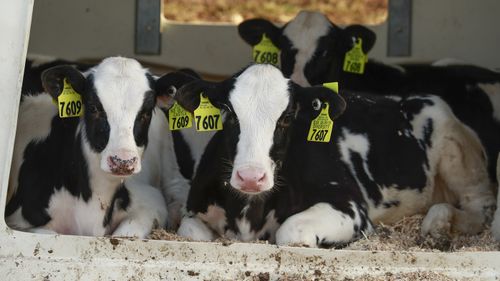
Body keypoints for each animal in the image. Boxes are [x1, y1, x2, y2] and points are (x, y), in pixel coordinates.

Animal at [169, 64, 496, 247]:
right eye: (228, 112)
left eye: (287, 117)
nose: (251, 176)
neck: (248, 212)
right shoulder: (193, 211)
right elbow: (192, 231)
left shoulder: (351, 207)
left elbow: (291, 231)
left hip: (458, 154)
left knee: (480, 205)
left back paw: (439, 226)